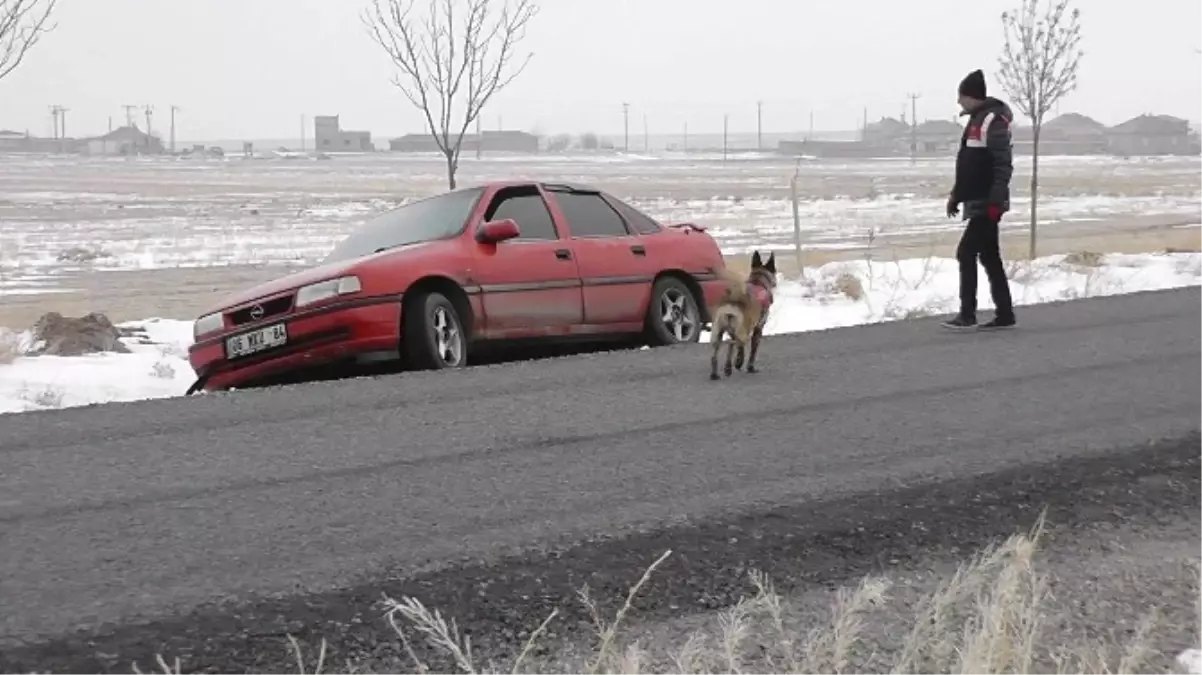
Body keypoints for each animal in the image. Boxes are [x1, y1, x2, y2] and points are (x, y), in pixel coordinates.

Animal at [701, 251, 778, 379]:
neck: (758, 281)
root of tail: (732, 301)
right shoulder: (758, 329)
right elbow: (752, 352)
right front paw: (749, 367)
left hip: (717, 331)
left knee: (717, 352)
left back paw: (715, 374)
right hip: (743, 333)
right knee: (734, 344)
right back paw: (732, 365)